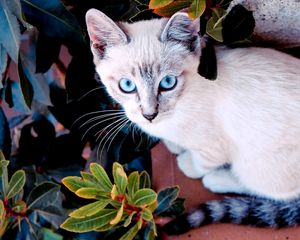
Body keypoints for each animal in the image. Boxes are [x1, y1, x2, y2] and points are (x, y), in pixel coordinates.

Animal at [85, 8, 300, 234]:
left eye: (168, 82)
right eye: (127, 85)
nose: (149, 115)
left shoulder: (214, 147)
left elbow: (201, 162)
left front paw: (188, 162)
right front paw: (175, 145)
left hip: (256, 164)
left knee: (273, 190)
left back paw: (218, 180)